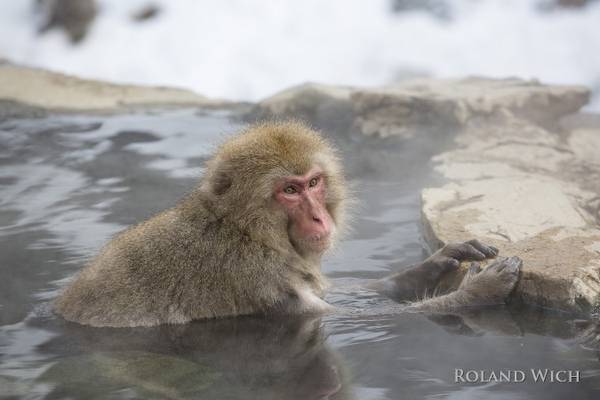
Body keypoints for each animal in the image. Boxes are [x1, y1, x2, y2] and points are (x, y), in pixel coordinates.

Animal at [55, 120, 520, 326]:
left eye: (314, 182)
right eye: (290, 191)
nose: (318, 216)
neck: (245, 230)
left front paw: (438, 262)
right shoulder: (254, 273)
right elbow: (343, 317)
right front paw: (478, 292)